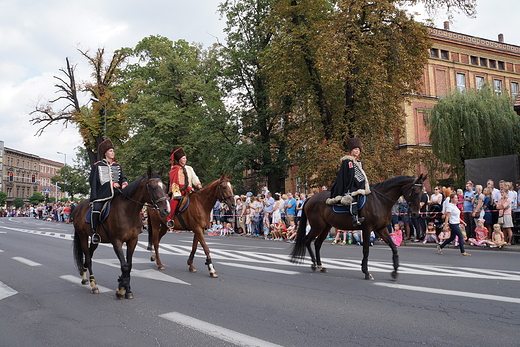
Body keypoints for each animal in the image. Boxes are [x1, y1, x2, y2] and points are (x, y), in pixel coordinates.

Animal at [70, 169, 169, 300]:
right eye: (153, 187)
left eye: (165, 187)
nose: (166, 210)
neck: (128, 211)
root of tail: (78, 207)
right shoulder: (116, 241)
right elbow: (124, 266)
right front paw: (122, 289)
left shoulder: (132, 241)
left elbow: (129, 265)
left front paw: (126, 289)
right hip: (82, 236)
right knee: (88, 258)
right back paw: (93, 285)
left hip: (95, 240)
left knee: (88, 256)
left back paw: (84, 277)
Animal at [290, 175, 424, 282]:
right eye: (415, 192)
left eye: (422, 193)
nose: (415, 214)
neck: (380, 201)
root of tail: (310, 198)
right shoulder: (367, 228)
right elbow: (366, 250)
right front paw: (366, 272)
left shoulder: (381, 229)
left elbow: (394, 247)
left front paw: (395, 272)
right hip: (318, 226)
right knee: (307, 240)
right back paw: (314, 264)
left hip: (326, 227)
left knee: (317, 244)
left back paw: (320, 266)